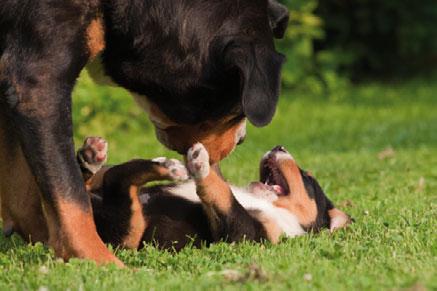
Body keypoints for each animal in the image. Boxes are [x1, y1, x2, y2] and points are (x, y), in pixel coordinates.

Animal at [0, 0, 290, 264]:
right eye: (236, 110)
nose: (241, 140)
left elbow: (24, 196)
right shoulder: (37, 83)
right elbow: (69, 196)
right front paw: (99, 261)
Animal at [78, 137, 350, 251]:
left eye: (308, 178)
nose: (278, 146)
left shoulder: (244, 236)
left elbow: (225, 196)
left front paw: (202, 166)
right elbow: (226, 186)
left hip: (129, 232)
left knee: (119, 182)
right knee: (104, 178)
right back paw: (91, 157)